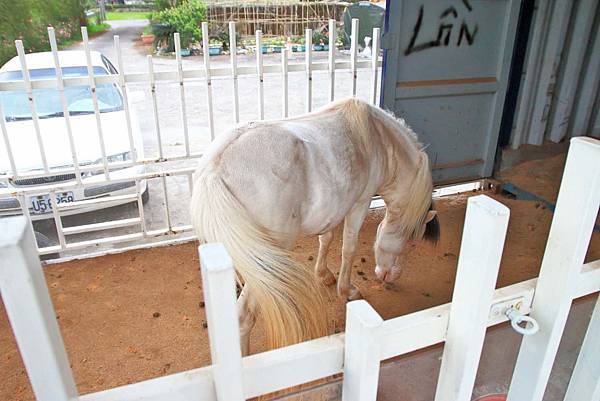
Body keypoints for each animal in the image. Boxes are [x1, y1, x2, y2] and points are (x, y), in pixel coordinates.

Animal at [192, 97, 440, 354]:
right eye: (412, 240)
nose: (391, 276)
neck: (379, 139)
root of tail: (215, 168)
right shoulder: (359, 204)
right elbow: (349, 248)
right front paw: (347, 290)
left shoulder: (332, 207)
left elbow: (326, 239)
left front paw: (324, 274)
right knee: (244, 316)